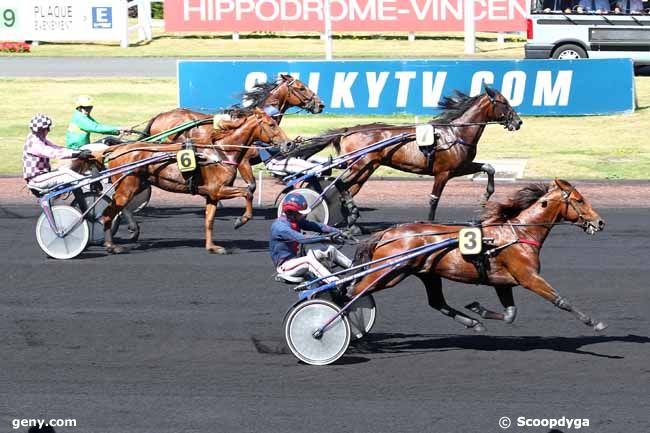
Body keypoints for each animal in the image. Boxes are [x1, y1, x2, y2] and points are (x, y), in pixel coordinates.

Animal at [99, 108, 288, 255]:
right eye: (272, 125)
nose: (288, 144)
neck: (221, 152)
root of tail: (117, 148)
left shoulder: (212, 195)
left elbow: (209, 220)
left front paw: (212, 247)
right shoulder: (218, 189)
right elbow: (247, 192)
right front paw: (241, 220)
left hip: (137, 185)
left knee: (119, 209)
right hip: (127, 187)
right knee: (109, 212)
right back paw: (111, 245)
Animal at [288, 85, 520, 226]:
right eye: (504, 102)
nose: (518, 122)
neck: (455, 133)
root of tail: (348, 130)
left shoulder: (460, 167)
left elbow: (489, 168)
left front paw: (485, 197)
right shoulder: (443, 172)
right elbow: (434, 199)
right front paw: (430, 223)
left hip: (366, 167)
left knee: (348, 189)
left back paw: (352, 220)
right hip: (359, 164)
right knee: (341, 185)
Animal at [352, 178, 604, 330]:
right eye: (580, 200)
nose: (600, 222)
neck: (517, 234)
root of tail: (387, 232)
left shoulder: (503, 282)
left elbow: (510, 314)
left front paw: (478, 309)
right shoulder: (529, 277)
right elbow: (560, 300)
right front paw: (593, 322)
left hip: (427, 274)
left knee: (437, 302)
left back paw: (472, 322)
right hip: (388, 273)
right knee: (352, 292)